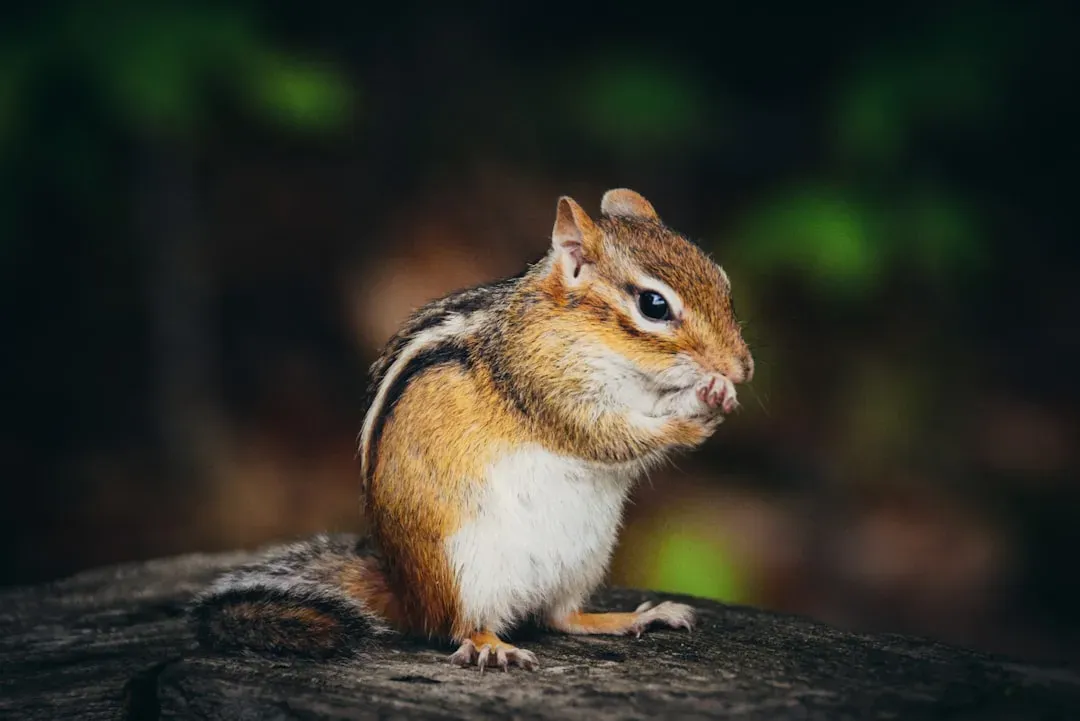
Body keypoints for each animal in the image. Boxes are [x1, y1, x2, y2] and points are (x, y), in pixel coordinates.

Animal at [191, 188, 754, 671]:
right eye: (653, 305)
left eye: (724, 283)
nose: (742, 367)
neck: (578, 330)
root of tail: (406, 592)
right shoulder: (547, 388)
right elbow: (610, 435)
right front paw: (696, 410)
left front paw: (720, 394)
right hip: (465, 568)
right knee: (459, 627)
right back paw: (490, 645)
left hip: (585, 559)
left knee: (561, 618)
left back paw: (635, 616)